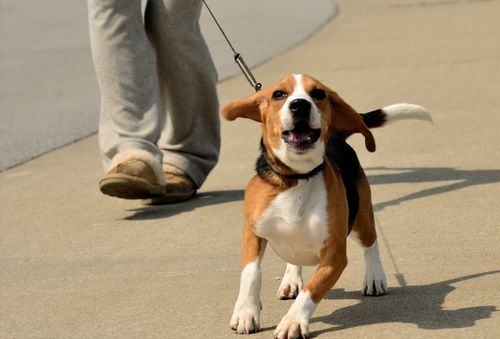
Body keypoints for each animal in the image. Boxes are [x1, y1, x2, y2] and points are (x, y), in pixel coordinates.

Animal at [222, 75, 430, 339]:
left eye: (318, 93)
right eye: (278, 94)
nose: (300, 105)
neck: (297, 178)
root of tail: (336, 137)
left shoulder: (335, 256)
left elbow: (312, 290)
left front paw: (292, 321)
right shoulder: (252, 233)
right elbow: (251, 273)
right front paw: (246, 311)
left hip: (361, 217)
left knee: (371, 244)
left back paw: (375, 277)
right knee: (294, 258)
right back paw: (291, 279)